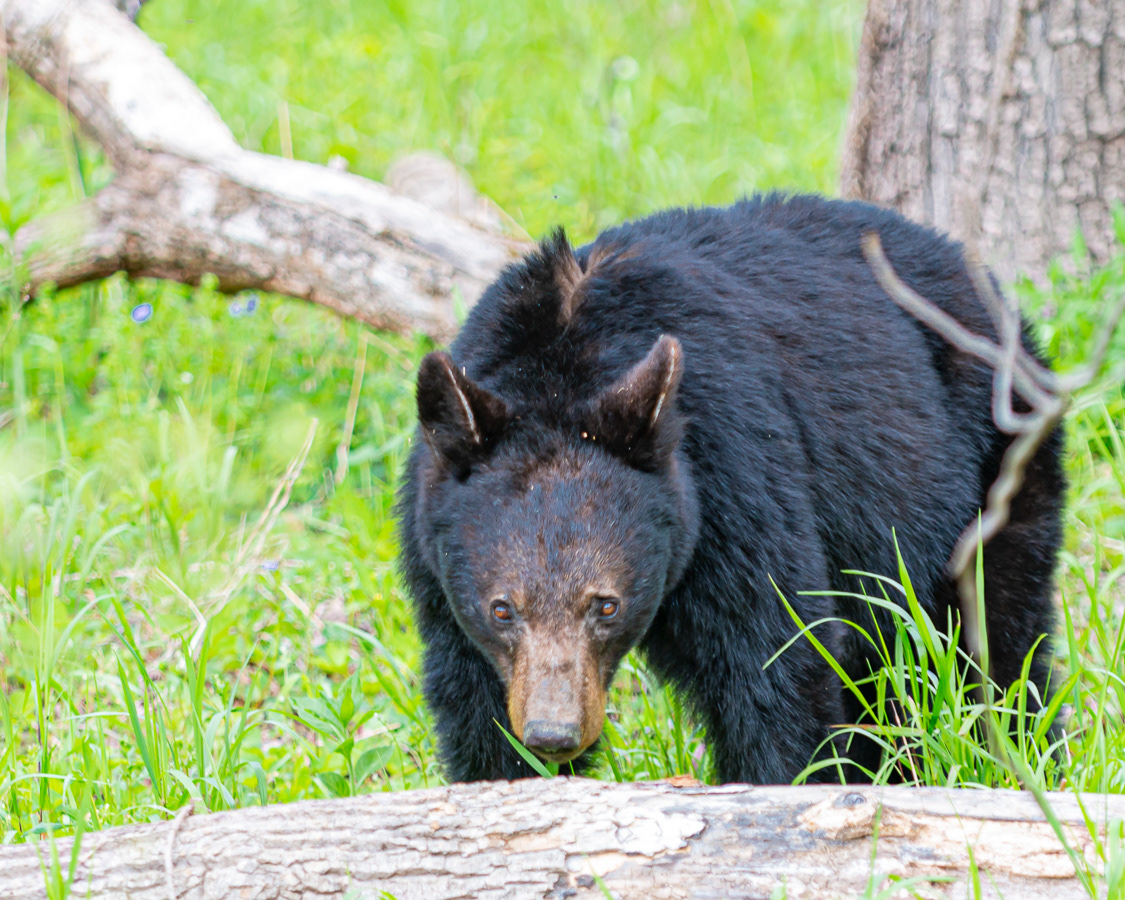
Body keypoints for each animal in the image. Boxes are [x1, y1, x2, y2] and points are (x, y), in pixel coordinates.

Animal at [396, 193, 1064, 785]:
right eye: (502, 608)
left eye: (605, 604)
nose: (553, 734)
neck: (563, 358)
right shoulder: (435, 562)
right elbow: (475, 703)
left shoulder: (736, 474)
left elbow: (774, 663)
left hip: (989, 459)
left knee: (993, 639)